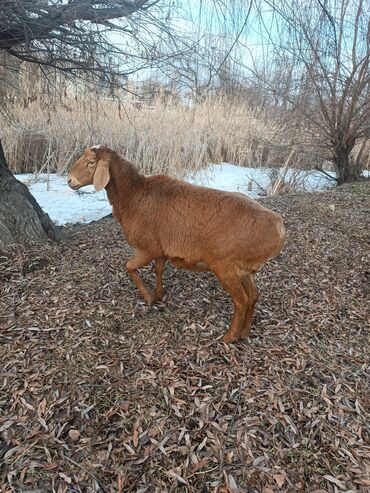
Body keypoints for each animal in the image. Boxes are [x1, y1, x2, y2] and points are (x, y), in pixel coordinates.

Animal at [67, 144, 286, 340]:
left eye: (91, 162)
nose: (69, 181)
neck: (133, 198)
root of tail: (279, 228)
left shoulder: (146, 248)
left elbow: (128, 266)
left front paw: (148, 298)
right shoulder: (161, 249)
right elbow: (158, 270)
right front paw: (158, 295)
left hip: (225, 266)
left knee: (241, 301)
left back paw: (230, 337)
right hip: (244, 269)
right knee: (253, 297)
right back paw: (245, 333)